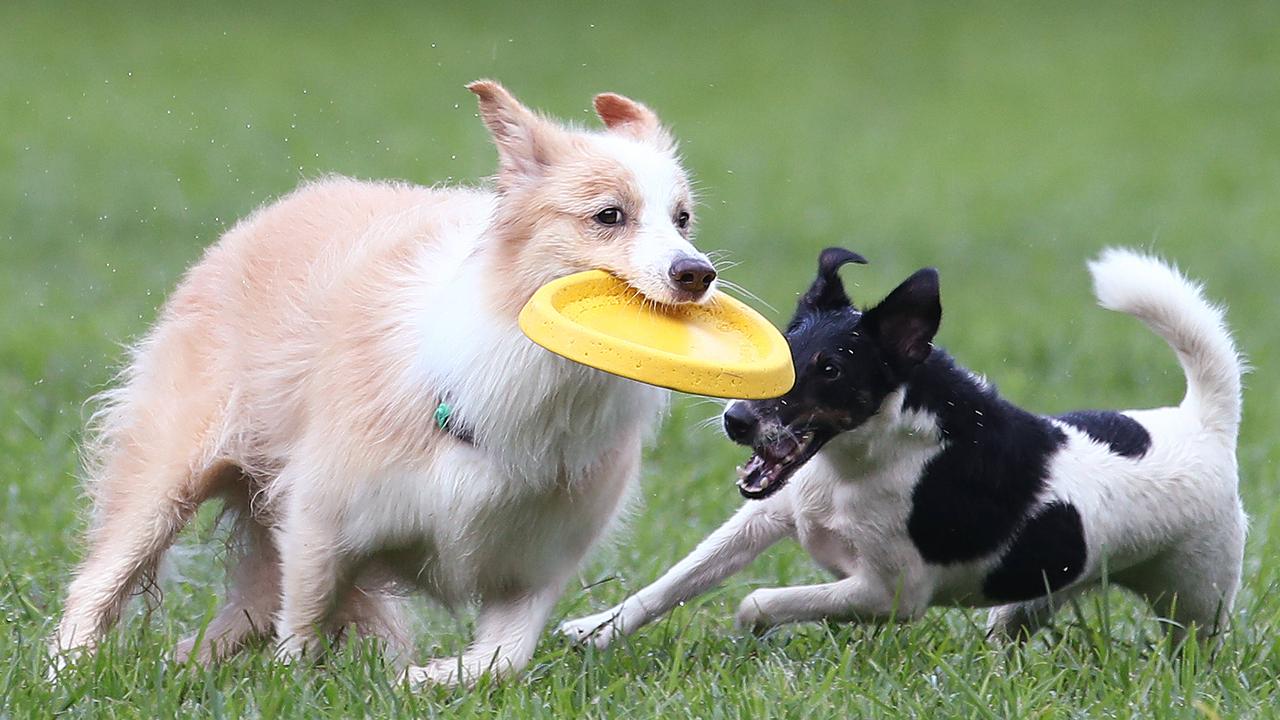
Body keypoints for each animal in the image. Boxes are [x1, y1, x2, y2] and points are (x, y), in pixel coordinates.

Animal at [55, 81, 716, 681]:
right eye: (609, 216)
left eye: (683, 220)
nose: (697, 273)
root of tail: (272, 213)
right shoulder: (321, 518)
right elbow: (302, 627)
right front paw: (300, 685)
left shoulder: (536, 562)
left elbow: (500, 660)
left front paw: (417, 681)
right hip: (169, 474)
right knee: (104, 576)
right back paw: (67, 671)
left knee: (247, 607)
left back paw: (184, 666)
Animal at [560, 244, 1239, 645]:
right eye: (780, 350)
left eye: (831, 369)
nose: (736, 420)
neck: (854, 465)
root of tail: (1203, 421)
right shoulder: (764, 517)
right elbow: (673, 582)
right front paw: (594, 630)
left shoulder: (890, 592)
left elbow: (757, 602)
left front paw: (756, 637)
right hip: (1036, 595)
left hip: (1197, 597)